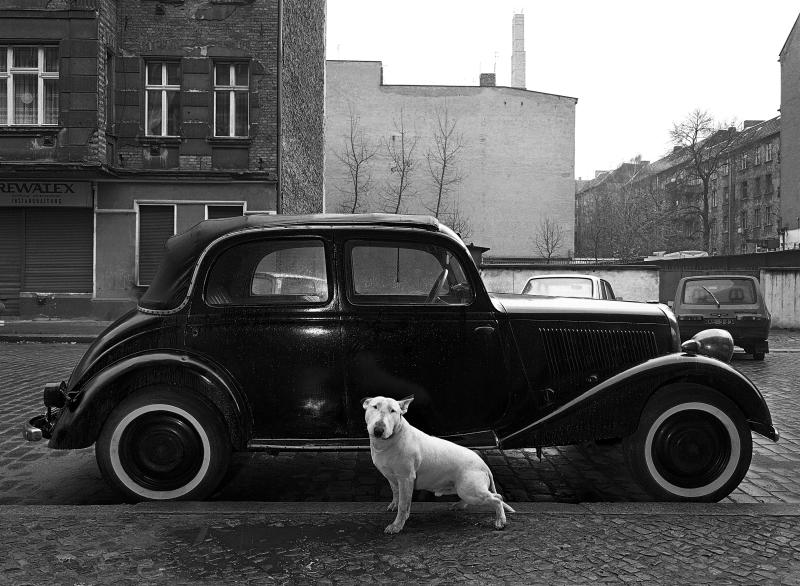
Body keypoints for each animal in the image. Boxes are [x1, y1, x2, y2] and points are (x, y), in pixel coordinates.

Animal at [362, 394, 512, 532]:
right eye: (374, 407)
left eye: (393, 411)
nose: (378, 430)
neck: (389, 440)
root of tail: (484, 465)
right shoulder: (392, 478)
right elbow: (396, 494)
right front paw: (394, 505)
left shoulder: (406, 478)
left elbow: (403, 504)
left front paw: (397, 526)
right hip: (464, 489)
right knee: (491, 496)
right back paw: (459, 506)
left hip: (469, 490)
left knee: (497, 498)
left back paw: (500, 520)